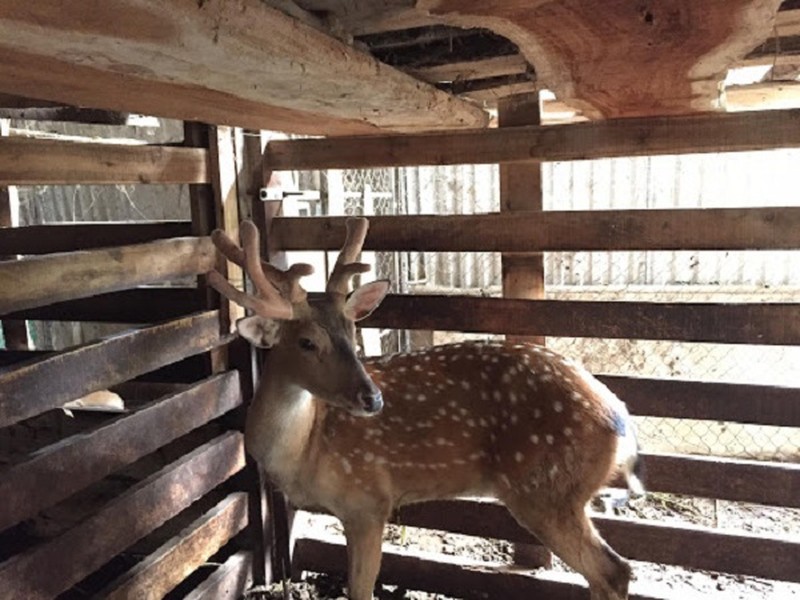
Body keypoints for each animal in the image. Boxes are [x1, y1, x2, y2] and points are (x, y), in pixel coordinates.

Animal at [206, 217, 644, 600]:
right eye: (307, 342)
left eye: (351, 330)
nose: (373, 399)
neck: (302, 451)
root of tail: (619, 416)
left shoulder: (368, 501)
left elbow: (360, 592)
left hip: (547, 489)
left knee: (613, 570)